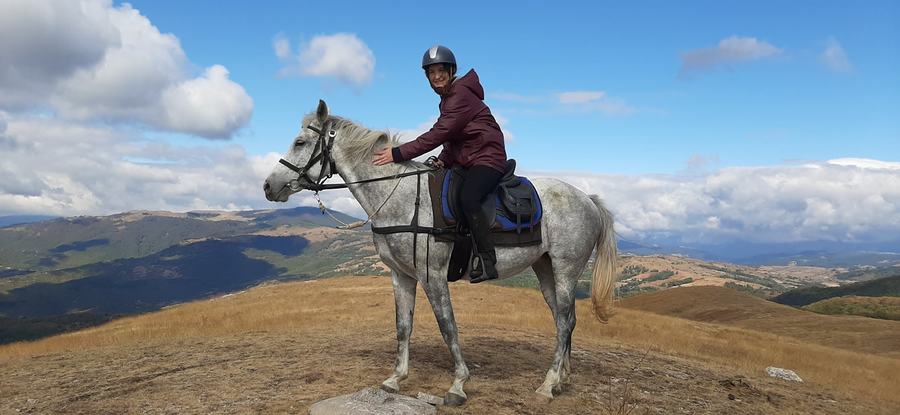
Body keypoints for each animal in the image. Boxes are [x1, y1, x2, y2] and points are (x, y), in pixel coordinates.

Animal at [262, 101, 620, 406]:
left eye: (299, 142)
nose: (268, 186)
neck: (400, 197)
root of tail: (588, 200)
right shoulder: (401, 276)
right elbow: (403, 326)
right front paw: (395, 379)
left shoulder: (431, 275)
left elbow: (448, 325)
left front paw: (458, 384)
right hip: (545, 269)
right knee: (563, 320)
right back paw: (562, 379)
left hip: (565, 270)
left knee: (565, 321)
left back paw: (547, 385)